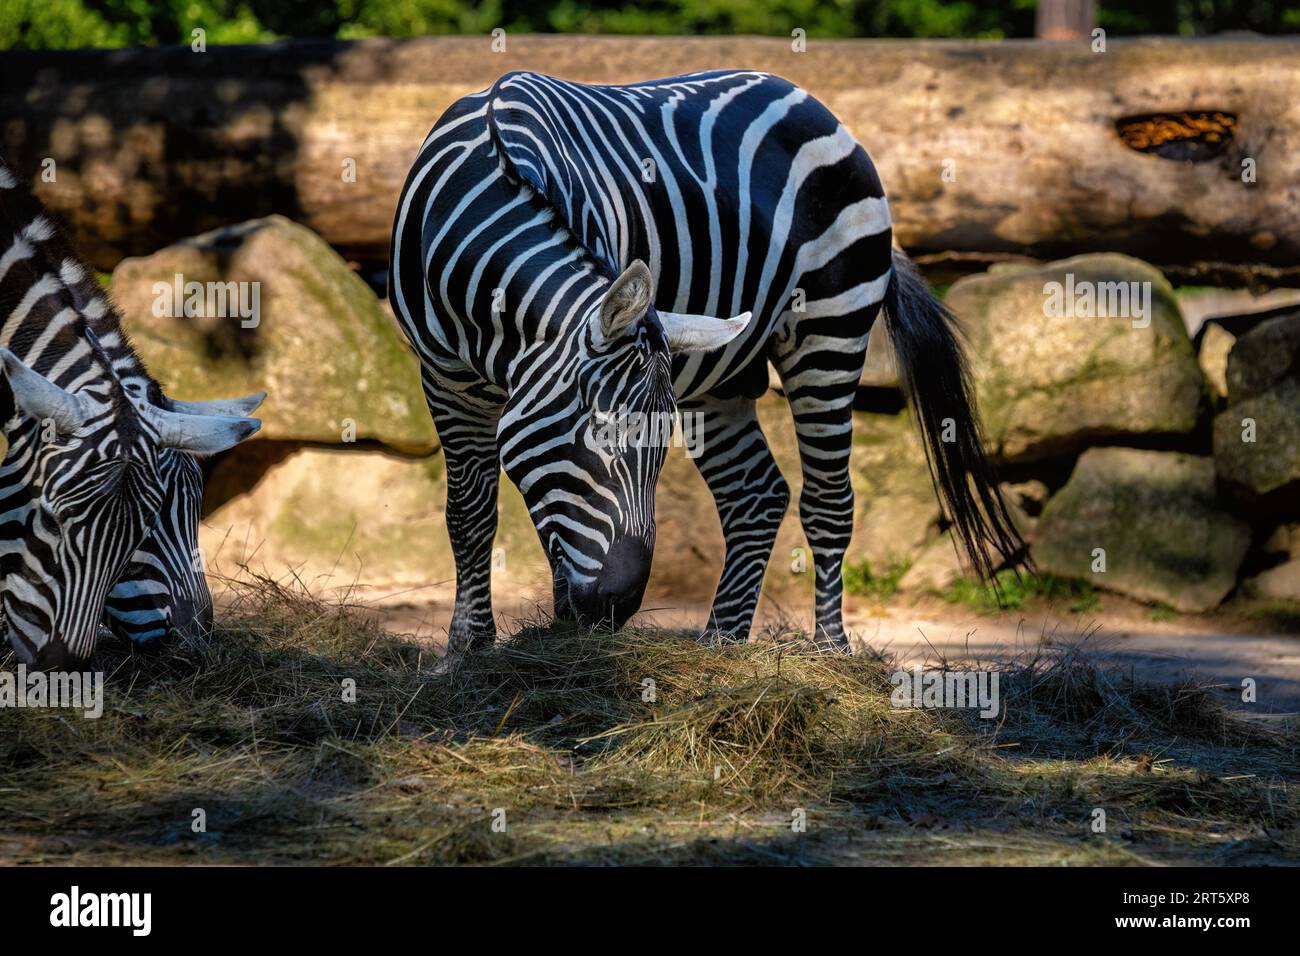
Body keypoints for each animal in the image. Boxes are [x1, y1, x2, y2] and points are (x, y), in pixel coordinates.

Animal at [390, 70, 1024, 652]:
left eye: (657, 450)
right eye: (592, 433)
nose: (618, 608)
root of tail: (808, 99)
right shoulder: (443, 380)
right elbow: (471, 515)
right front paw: (470, 652)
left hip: (830, 330)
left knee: (828, 501)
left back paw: (828, 652)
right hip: (722, 375)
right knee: (756, 495)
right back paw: (722, 643)